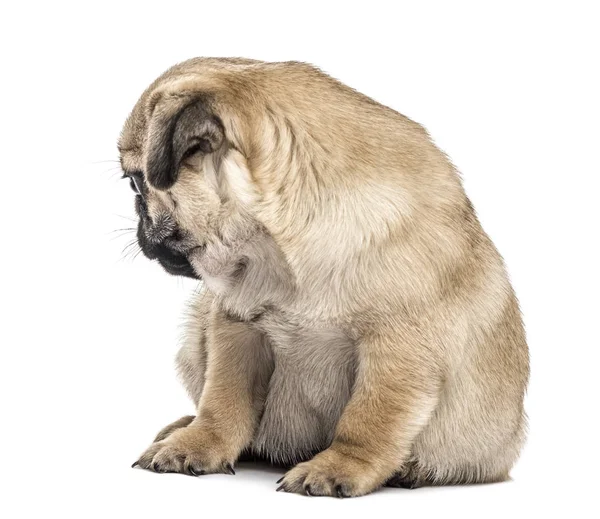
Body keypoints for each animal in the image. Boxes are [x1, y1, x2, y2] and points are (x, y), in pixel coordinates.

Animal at [119, 58, 528, 500]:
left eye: (136, 182)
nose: (139, 225)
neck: (280, 255)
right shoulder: (237, 328)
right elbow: (224, 400)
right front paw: (200, 442)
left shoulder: (397, 351)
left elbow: (368, 419)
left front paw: (341, 465)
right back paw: (183, 427)